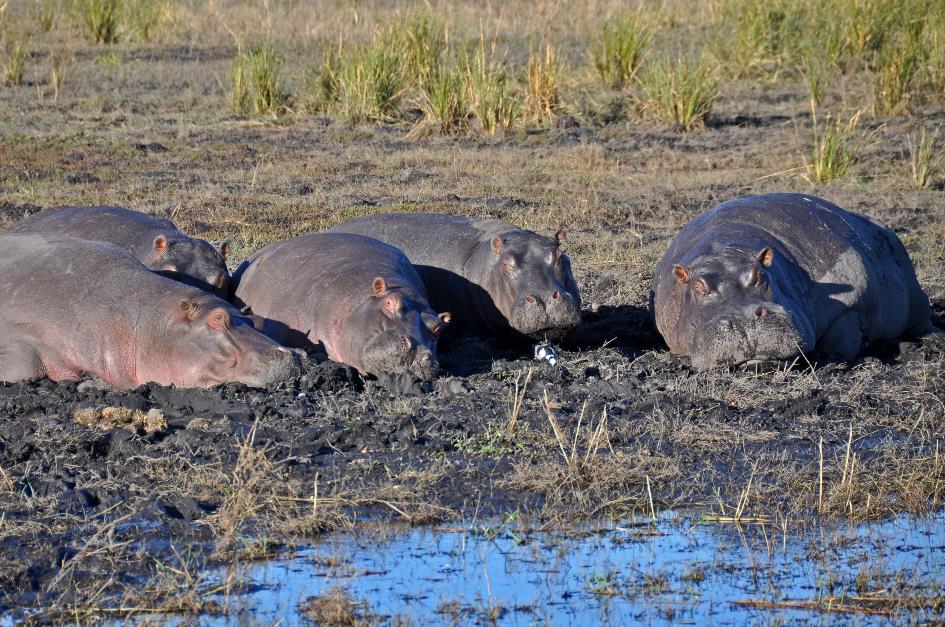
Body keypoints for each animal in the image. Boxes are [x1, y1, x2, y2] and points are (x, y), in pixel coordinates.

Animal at [648, 191, 928, 368]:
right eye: (697, 286)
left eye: (761, 275)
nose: (744, 321)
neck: (725, 249)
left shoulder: (852, 301)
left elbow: (844, 333)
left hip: (915, 297)